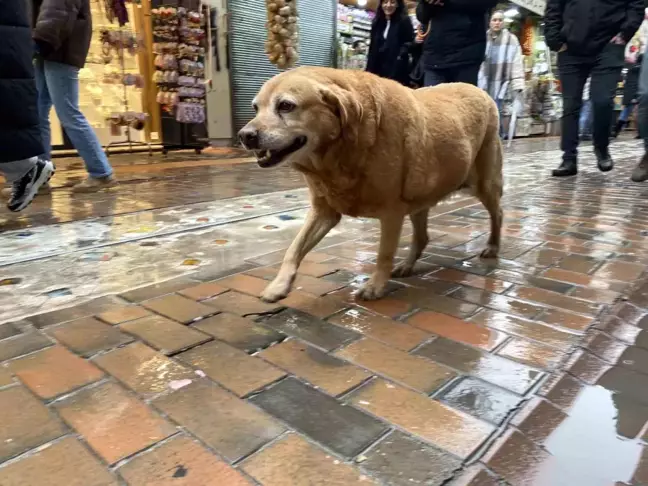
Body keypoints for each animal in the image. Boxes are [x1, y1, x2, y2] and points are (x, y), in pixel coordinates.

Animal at [240, 66, 504, 302]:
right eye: (255, 108)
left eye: (286, 105)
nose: (245, 136)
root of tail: (478, 89)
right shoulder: (323, 211)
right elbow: (293, 249)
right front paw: (279, 284)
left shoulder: (391, 214)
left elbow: (383, 254)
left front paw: (375, 286)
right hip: (420, 196)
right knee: (422, 237)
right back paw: (407, 265)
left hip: (484, 184)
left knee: (498, 214)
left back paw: (492, 247)